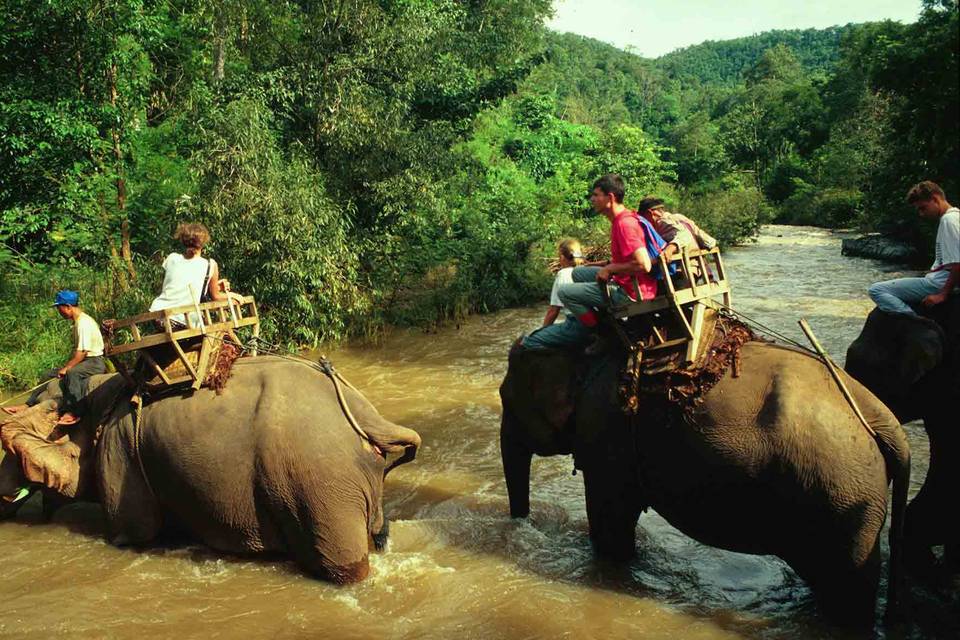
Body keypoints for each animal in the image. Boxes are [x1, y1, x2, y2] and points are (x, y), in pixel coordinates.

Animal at [0, 358, 420, 584]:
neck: (100, 389)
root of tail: (367, 416)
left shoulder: (119, 453)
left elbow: (131, 533)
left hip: (322, 486)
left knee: (341, 566)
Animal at [502, 340, 916, 620]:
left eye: (505, 397)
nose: (520, 525)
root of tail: (883, 418)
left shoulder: (606, 433)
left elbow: (610, 524)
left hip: (842, 497)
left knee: (848, 588)